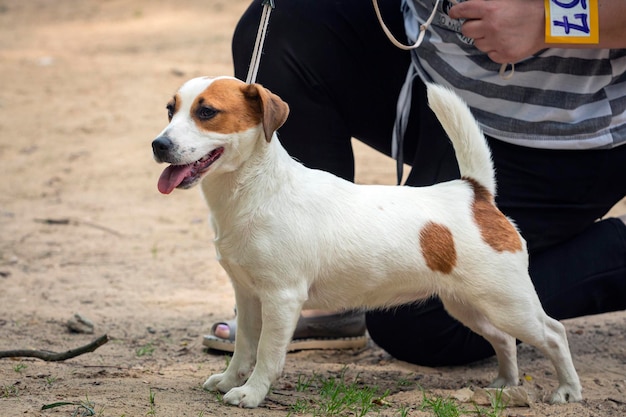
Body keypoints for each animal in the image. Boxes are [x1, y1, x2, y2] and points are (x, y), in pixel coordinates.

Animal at [151, 75, 580, 406]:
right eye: (170, 110)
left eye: (207, 112)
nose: (159, 145)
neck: (257, 191)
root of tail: (475, 193)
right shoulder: (248, 295)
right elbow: (243, 349)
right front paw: (228, 381)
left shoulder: (281, 298)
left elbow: (267, 355)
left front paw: (251, 394)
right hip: (469, 306)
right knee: (504, 339)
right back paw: (505, 384)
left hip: (508, 302)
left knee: (554, 334)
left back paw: (567, 391)